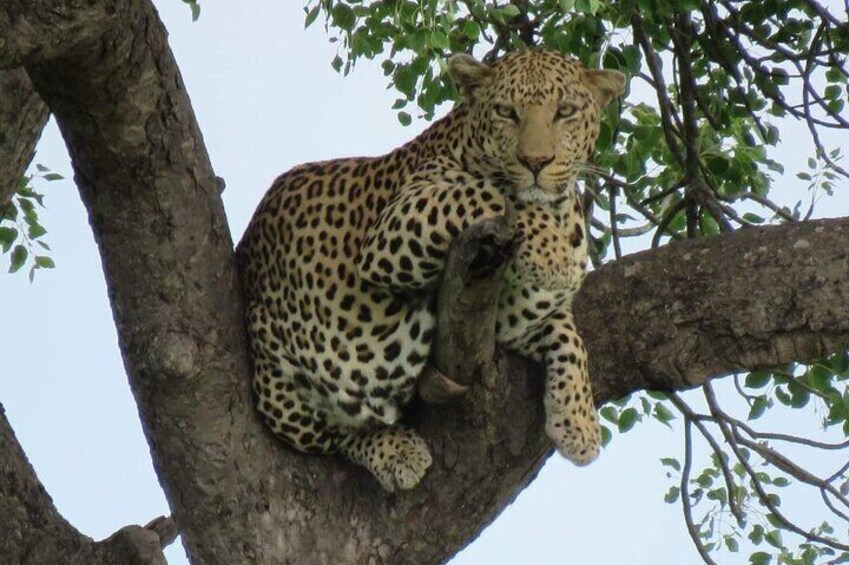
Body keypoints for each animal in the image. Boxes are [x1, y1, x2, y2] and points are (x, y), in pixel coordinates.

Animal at [237, 49, 626, 492]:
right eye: (506, 112)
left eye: (565, 111)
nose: (536, 162)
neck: (557, 210)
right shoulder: (397, 225)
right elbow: (490, 192)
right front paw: (552, 253)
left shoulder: (512, 318)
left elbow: (569, 335)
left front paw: (579, 422)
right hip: (277, 382)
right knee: (335, 434)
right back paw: (396, 450)